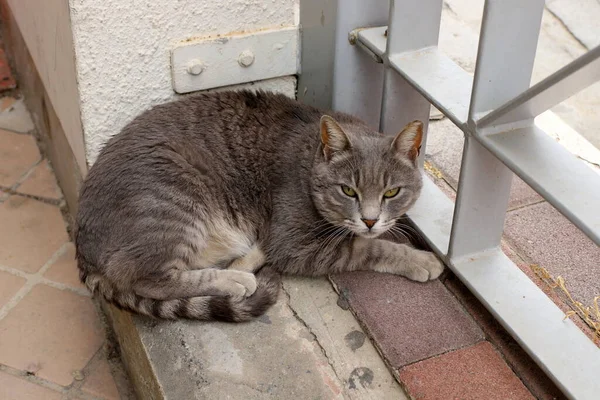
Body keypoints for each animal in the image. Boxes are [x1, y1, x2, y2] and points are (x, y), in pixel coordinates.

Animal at [75, 90, 442, 322]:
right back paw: (235, 280)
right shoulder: (296, 244)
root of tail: (82, 249)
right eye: (348, 190)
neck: (309, 162)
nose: (369, 220)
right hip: (174, 202)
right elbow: (368, 248)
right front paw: (420, 259)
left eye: (392, 192)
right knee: (146, 278)